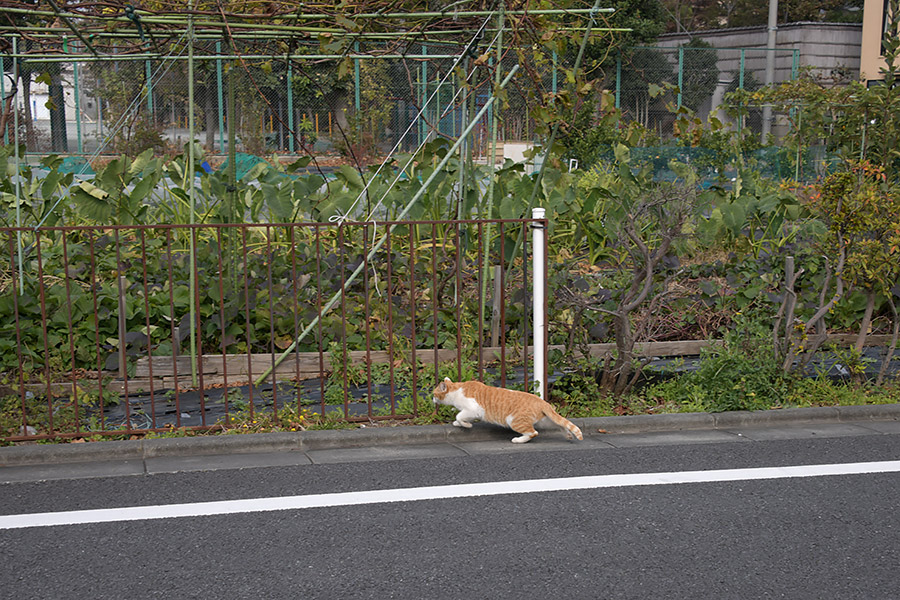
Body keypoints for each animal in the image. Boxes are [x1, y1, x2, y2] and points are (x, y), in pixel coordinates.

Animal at [434, 378, 584, 442]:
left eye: (434, 394)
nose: (432, 399)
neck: (457, 389)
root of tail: (542, 402)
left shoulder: (473, 409)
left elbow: (459, 416)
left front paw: (466, 425)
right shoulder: (471, 412)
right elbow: (460, 417)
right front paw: (459, 424)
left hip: (514, 421)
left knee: (533, 433)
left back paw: (518, 440)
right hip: (544, 421)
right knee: (559, 424)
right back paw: (567, 434)